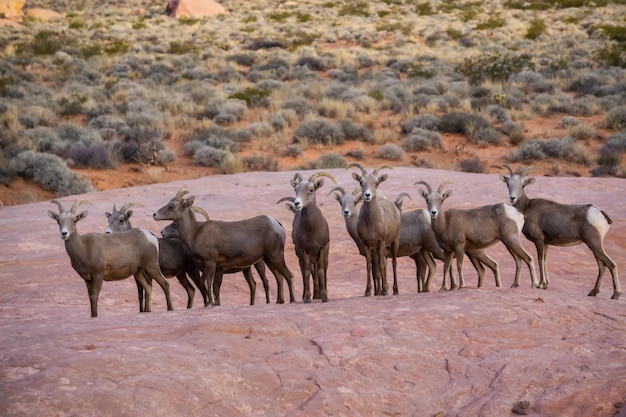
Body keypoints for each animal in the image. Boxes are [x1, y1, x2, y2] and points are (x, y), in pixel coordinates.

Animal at [153, 185, 294, 306]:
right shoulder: (210, 266)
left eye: (171, 206)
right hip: (268, 259)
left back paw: (292, 300)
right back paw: (280, 301)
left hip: (275, 256)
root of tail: (276, 224)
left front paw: (210, 303)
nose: (154, 214)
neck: (194, 232)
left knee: (288, 275)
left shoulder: (210, 263)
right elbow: (208, 284)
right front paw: (211, 303)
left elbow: (208, 283)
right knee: (278, 277)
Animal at [276, 171, 336, 300]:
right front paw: (307, 298)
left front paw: (324, 297)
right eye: (296, 189)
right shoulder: (303, 250)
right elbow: (306, 272)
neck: (311, 230)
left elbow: (321, 272)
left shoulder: (322, 248)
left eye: (311, 190)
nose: (297, 203)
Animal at [346, 162, 400, 296]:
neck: (371, 223)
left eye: (377, 183)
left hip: (394, 241)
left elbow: (381, 266)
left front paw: (385, 291)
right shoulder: (367, 244)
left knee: (393, 263)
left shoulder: (381, 242)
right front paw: (368, 291)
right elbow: (370, 266)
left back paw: (395, 290)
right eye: (361, 182)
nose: (367, 195)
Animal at [500, 163, 616, 300]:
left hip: (594, 244)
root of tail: (600, 213)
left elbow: (540, 260)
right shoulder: (546, 243)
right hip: (594, 246)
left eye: (523, 185)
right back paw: (593, 292)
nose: (512, 198)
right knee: (602, 266)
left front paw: (540, 284)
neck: (527, 208)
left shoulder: (539, 241)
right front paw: (545, 284)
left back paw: (615, 294)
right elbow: (544, 260)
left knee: (611, 264)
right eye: (508, 184)